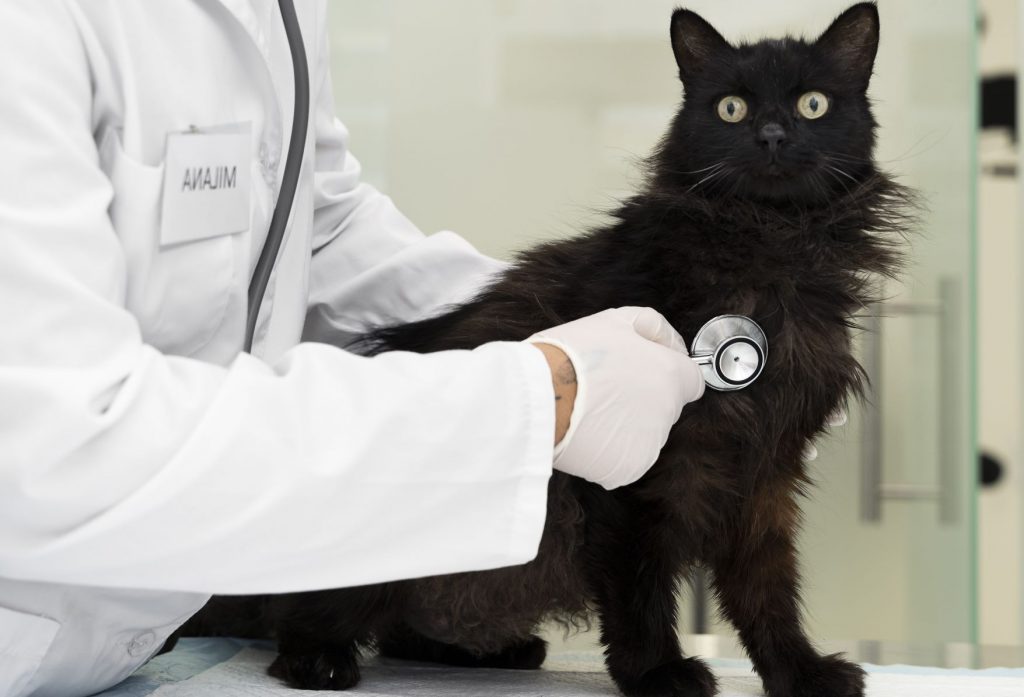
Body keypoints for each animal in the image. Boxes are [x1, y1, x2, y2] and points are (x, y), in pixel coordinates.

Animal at [182, 2, 913, 691]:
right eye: (731, 108)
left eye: (812, 104)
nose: (772, 134)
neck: (769, 250)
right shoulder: (635, 482)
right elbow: (640, 587)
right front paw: (656, 671)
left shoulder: (764, 474)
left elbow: (768, 593)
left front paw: (799, 671)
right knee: (314, 607)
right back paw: (318, 658)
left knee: (403, 628)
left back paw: (487, 650)